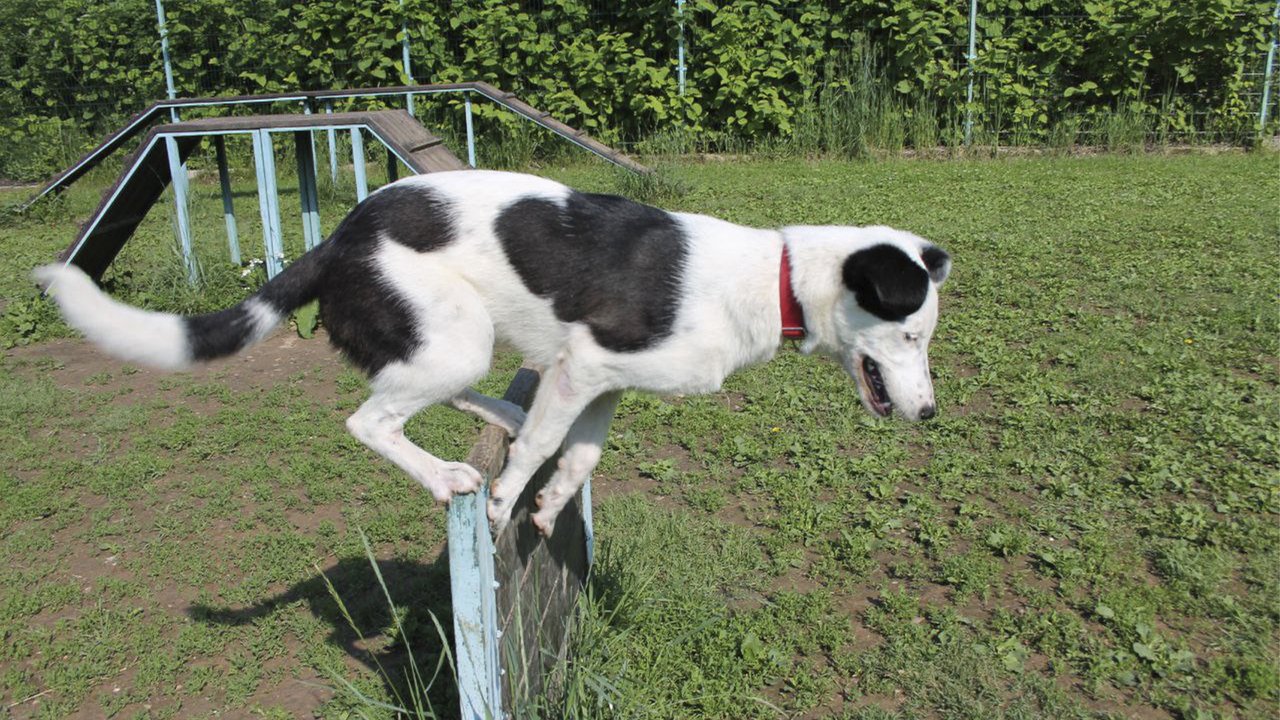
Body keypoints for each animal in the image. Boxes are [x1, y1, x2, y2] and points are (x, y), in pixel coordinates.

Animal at [35, 169, 952, 532]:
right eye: (910, 334)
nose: (929, 412)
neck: (778, 276)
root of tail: (339, 237)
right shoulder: (591, 363)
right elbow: (546, 449)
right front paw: (512, 500)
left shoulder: (599, 382)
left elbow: (578, 457)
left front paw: (549, 508)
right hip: (451, 339)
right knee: (370, 422)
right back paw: (450, 476)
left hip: (457, 347)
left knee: (443, 394)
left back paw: (499, 416)